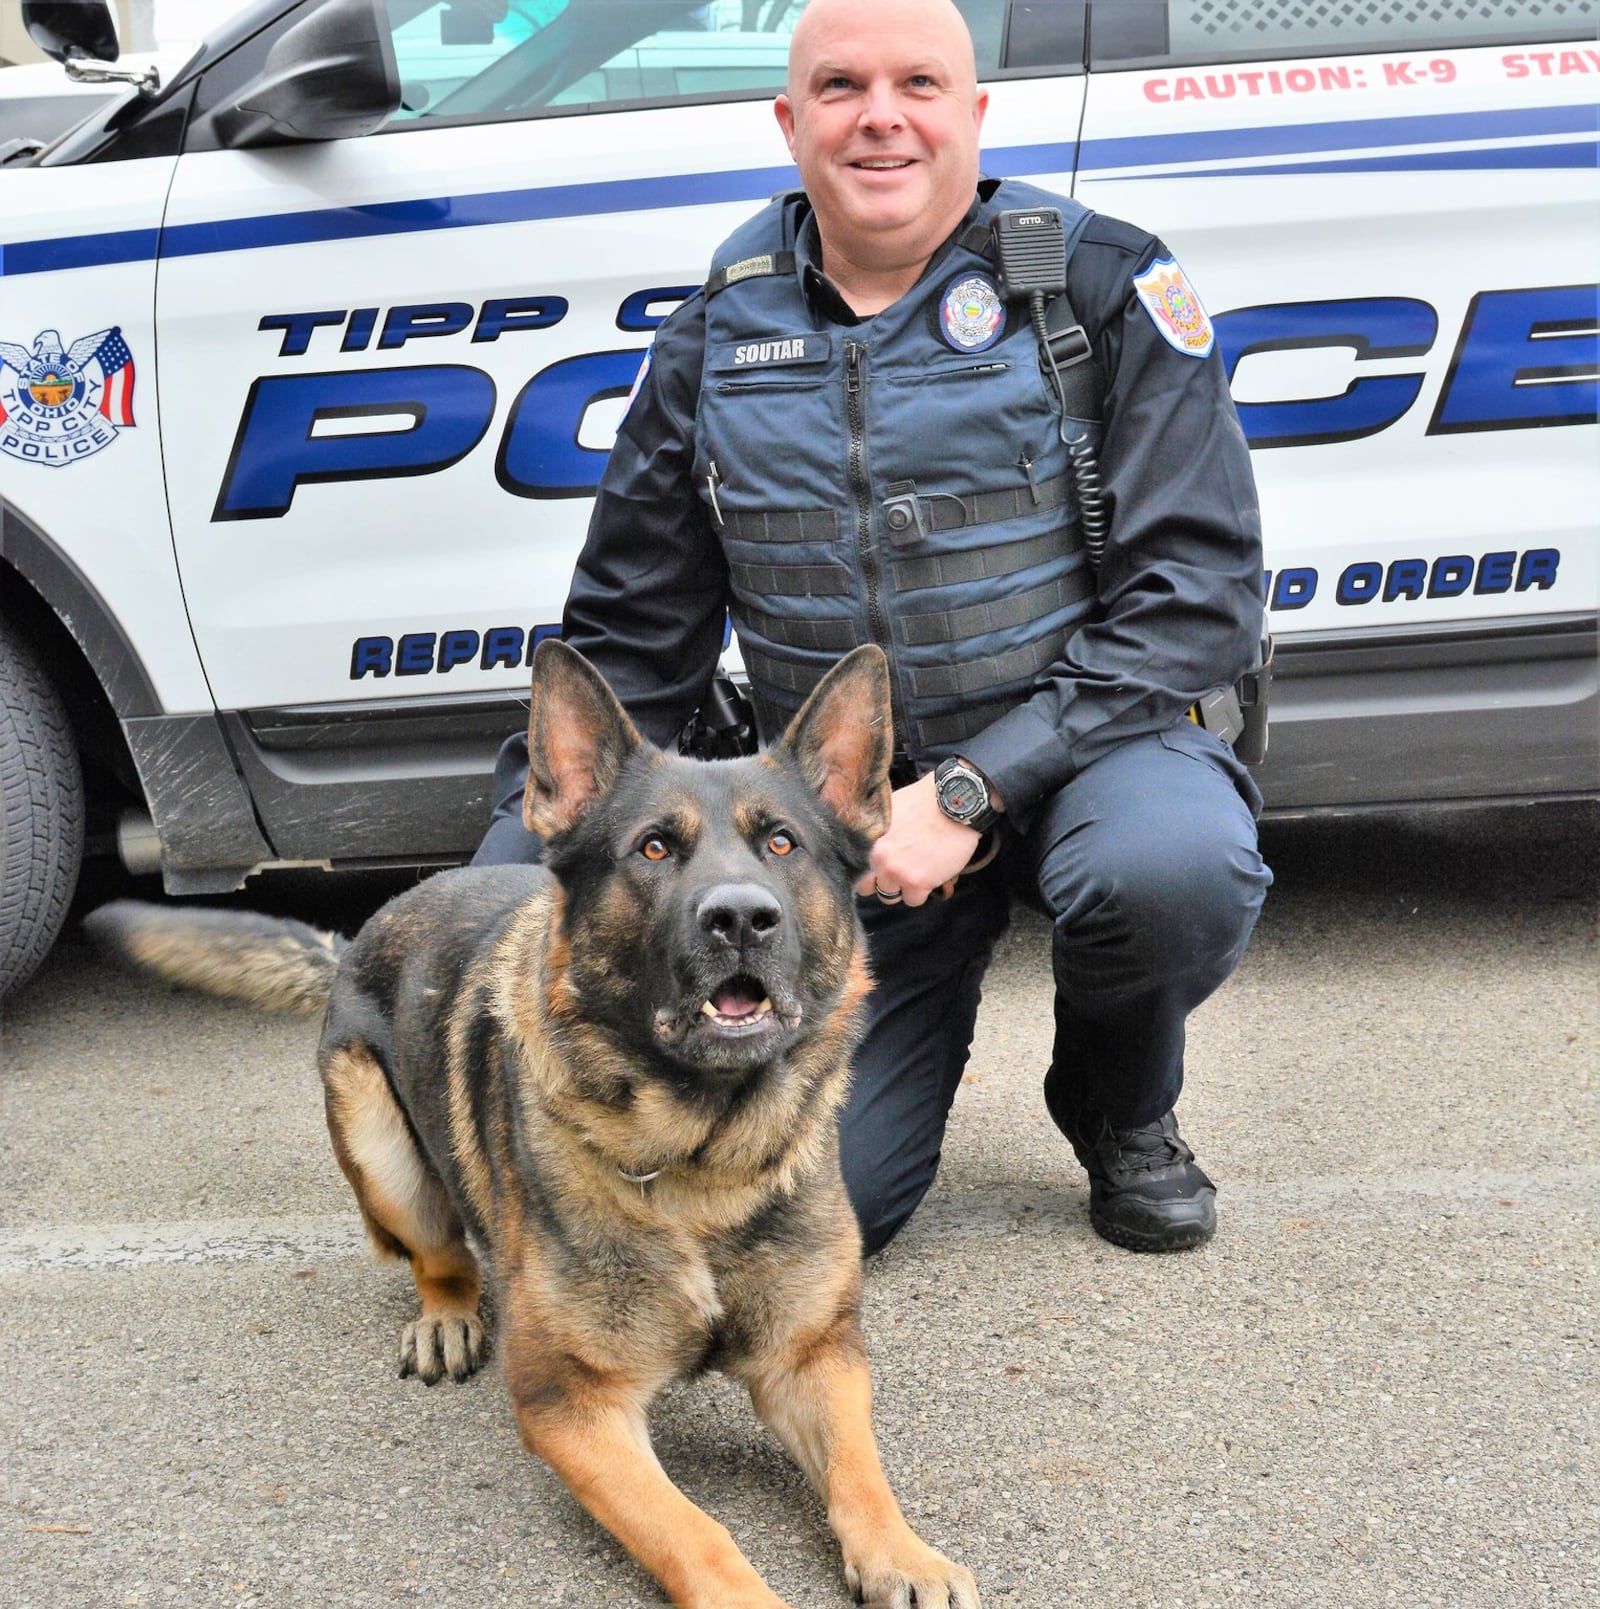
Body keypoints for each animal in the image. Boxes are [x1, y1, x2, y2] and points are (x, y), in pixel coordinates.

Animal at [96, 640, 985, 1609]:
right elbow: (695, 1531)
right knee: (441, 1254)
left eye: (783, 843)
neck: (699, 1159)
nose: (741, 917)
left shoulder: (815, 1358)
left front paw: (904, 1553)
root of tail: (360, 931)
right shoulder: (574, 1405)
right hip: (381, 1144)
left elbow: (863, 1473)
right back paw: (447, 1314)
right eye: (654, 847)